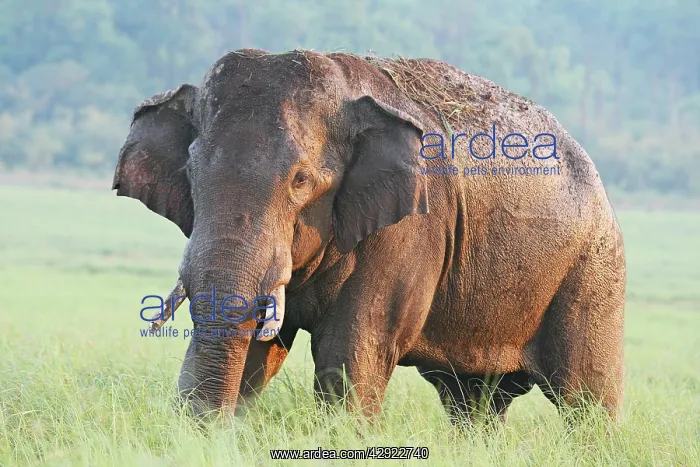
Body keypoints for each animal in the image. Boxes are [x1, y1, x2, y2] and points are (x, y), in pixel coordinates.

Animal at [112, 48, 626, 424]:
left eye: (301, 180)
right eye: (191, 170)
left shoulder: (411, 228)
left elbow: (351, 353)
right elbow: (261, 349)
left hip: (595, 270)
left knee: (586, 400)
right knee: (473, 402)